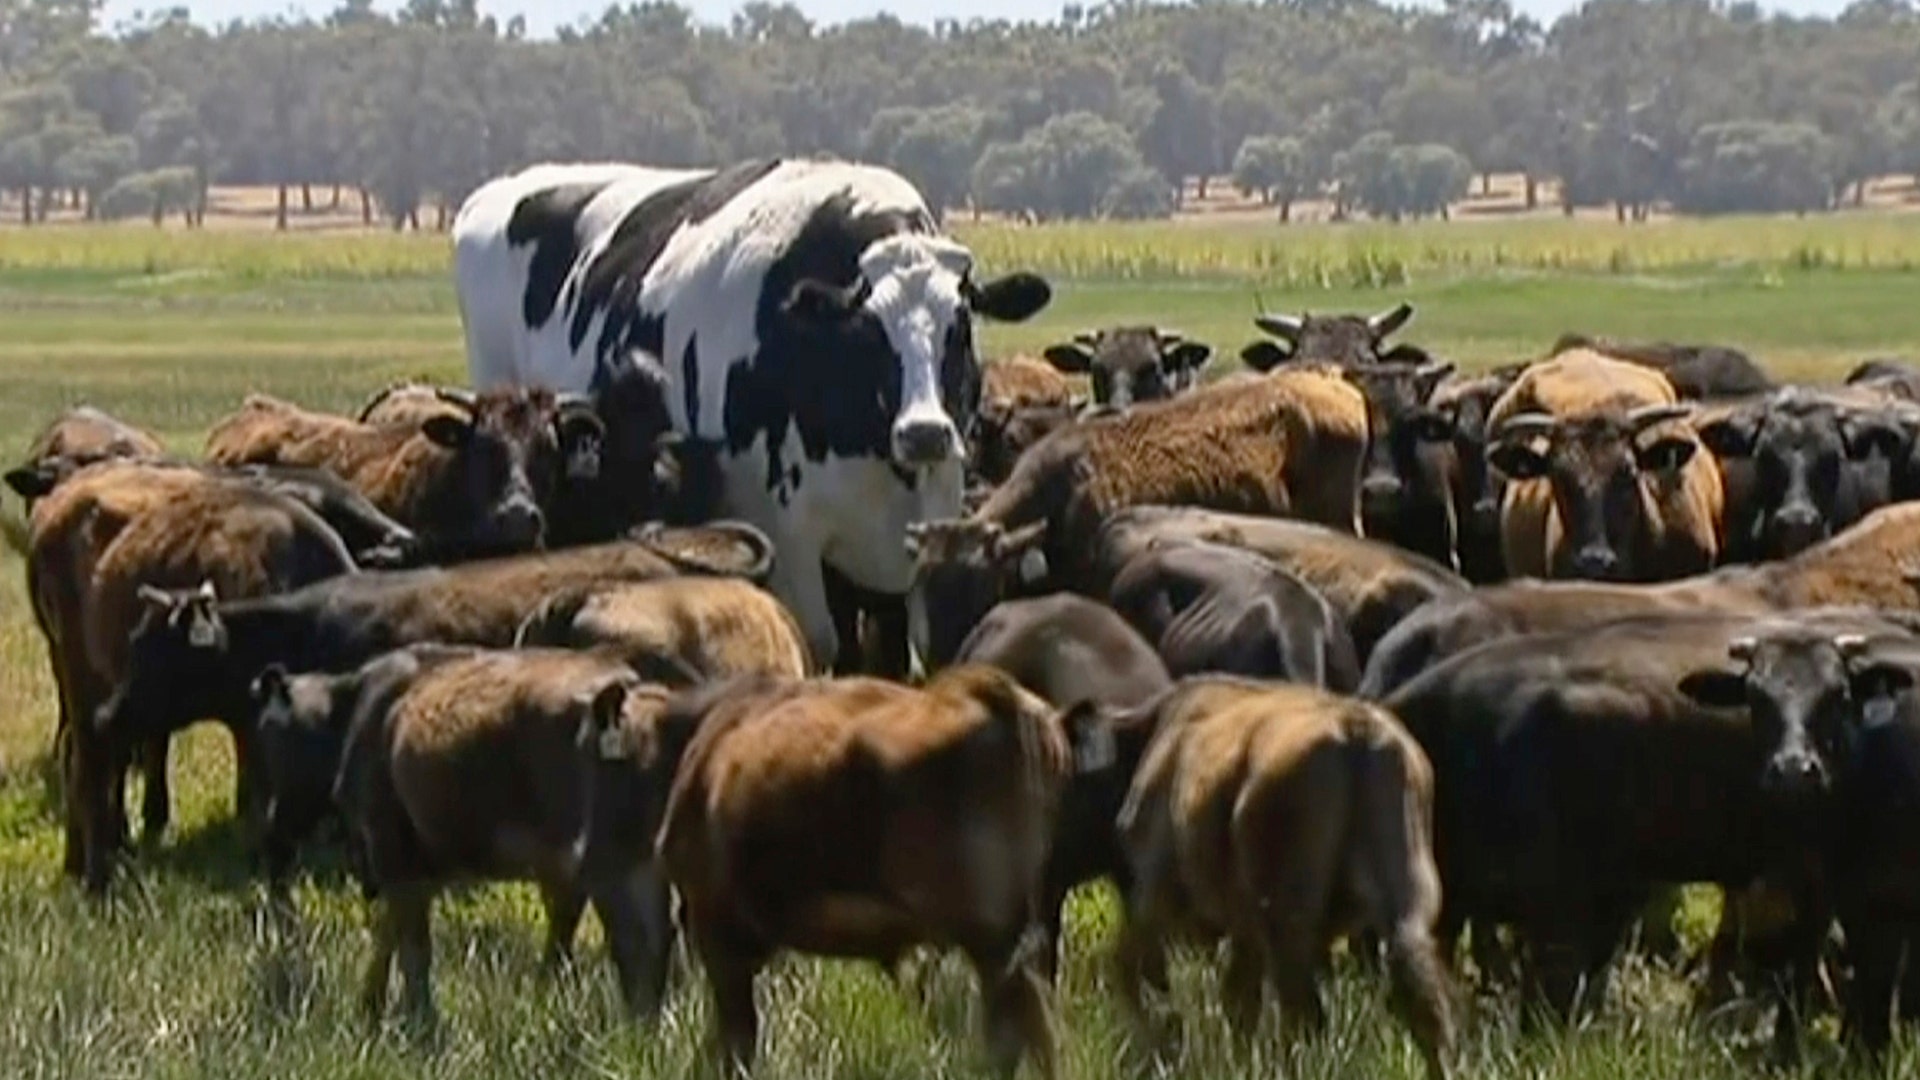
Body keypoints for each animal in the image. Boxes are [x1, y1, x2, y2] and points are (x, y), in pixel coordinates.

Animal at [452, 158, 1054, 671]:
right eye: (867, 329)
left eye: (962, 324)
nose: (924, 432)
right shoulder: (787, 537)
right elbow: (820, 643)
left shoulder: (922, 526)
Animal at [1111, 676, 1455, 1079]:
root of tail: (1359, 732)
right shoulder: (1244, 931)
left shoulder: (1156, 898)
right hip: (1404, 909)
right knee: (1423, 1003)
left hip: (1288, 922)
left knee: (1302, 1012)